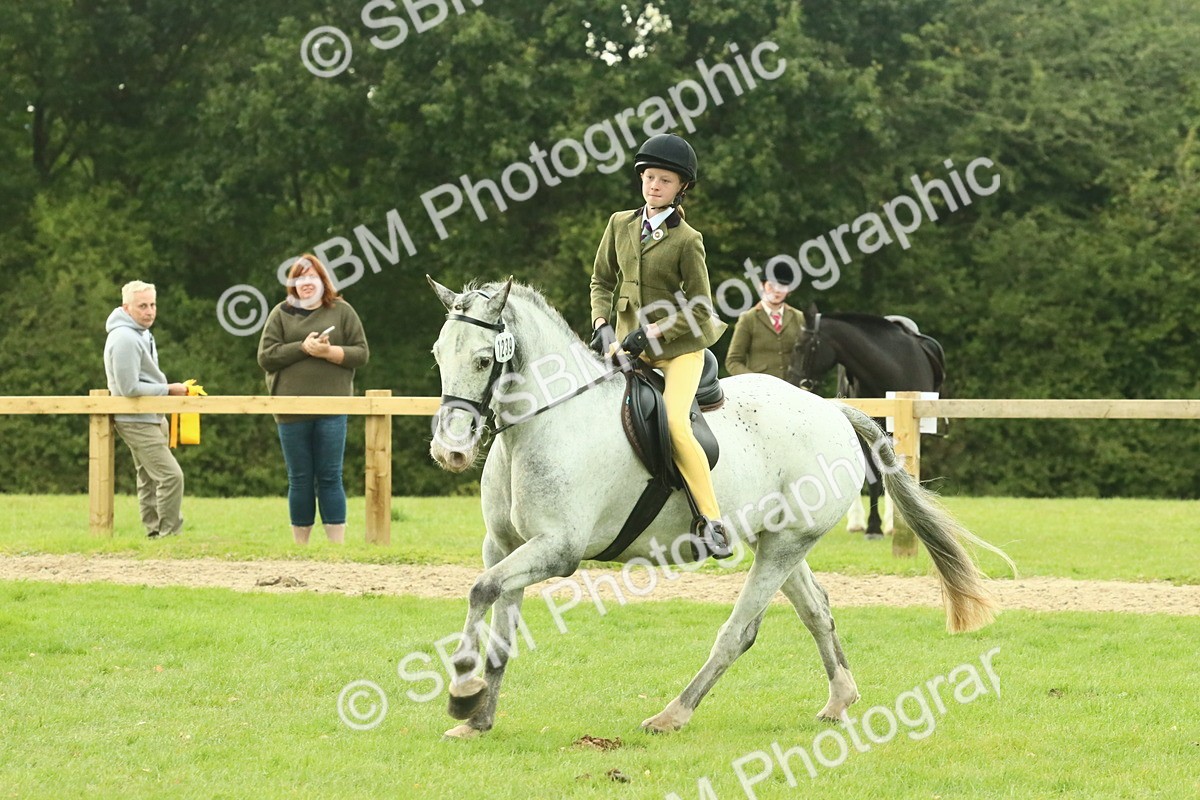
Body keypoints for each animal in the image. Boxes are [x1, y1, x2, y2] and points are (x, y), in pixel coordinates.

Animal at [788, 305, 946, 538]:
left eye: (799, 347)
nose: (789, 381)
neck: (891, 369)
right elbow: (873, 479)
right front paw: (873, 526)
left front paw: (893, 523)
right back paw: (856, 522)